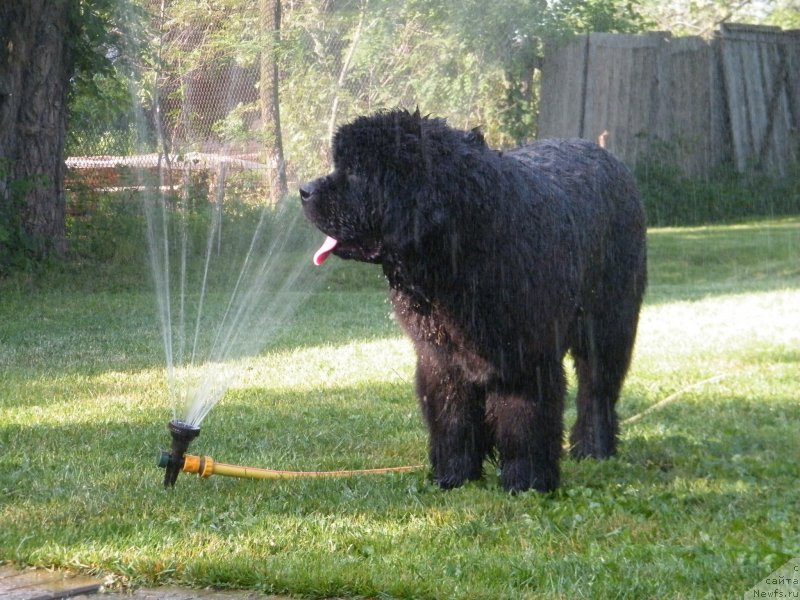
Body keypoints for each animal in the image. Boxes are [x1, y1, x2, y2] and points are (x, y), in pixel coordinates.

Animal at [300, 109, 644, 492]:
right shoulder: (441, 359)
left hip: (609, 324)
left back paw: (593, 448)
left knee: (597, 389)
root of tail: (609, 158)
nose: (304, 191)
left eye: (357, 171)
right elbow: (452, 418)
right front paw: (453, 476)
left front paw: (527, 481)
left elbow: (524, 422)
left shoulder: (525, 359)